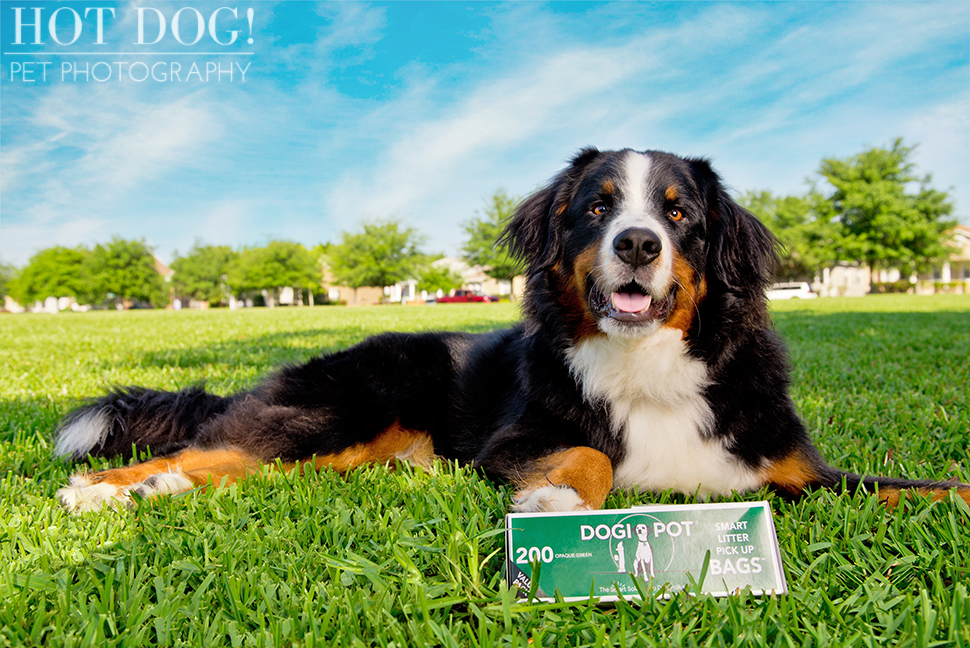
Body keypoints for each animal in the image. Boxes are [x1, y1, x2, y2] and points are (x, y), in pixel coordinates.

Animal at [56, 149, 968, 512]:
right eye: (598, 207)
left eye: (681, 215)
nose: (638, 244)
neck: (650, 365)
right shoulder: (514, 439)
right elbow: (591, 453)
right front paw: (558, 498)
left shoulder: (801, 472)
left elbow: (931, 488)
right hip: (338, 405)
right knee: (214, 446)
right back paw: (107, 490)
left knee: (243, 465)